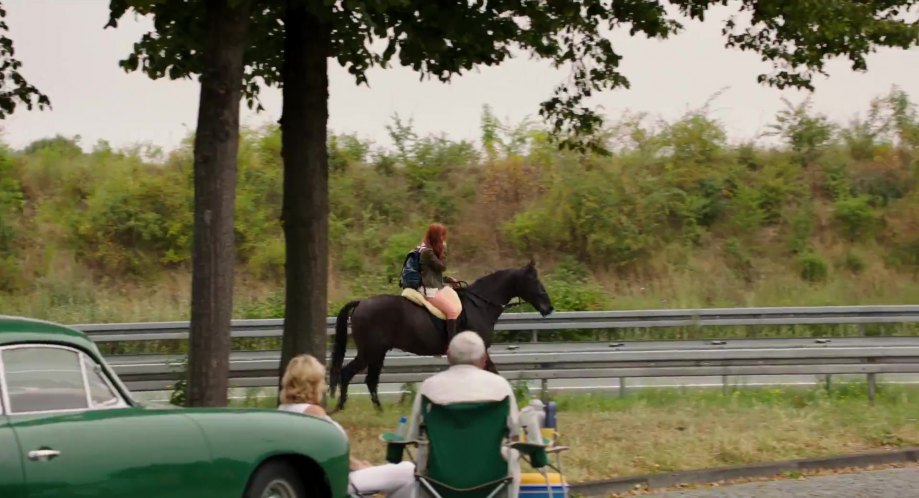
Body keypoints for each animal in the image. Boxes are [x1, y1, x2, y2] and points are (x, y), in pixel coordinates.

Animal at [328, 260, 552, 412]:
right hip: (370, 351)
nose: (549, 308)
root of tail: (361, 303)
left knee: (370, 380)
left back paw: (378, 411)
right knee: (348, 373)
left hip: (378, 352)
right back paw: (340, 407)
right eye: (534, 281)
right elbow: (493, 374)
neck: (480, 305)